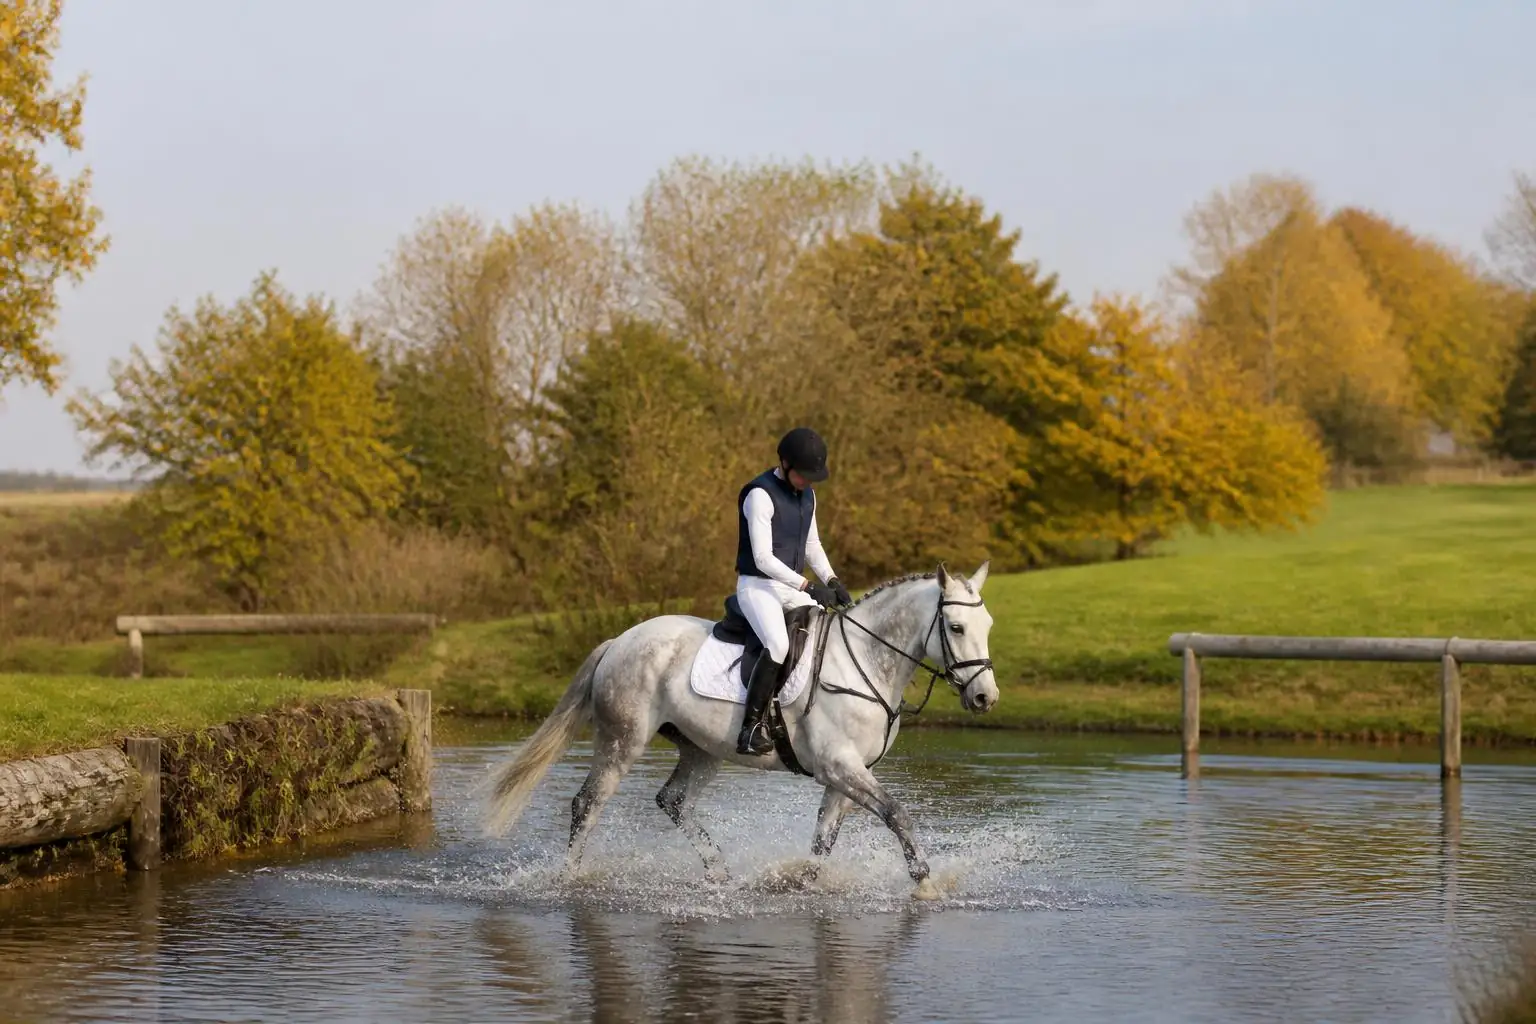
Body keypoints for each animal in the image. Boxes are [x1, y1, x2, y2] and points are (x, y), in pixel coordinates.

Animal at [482, 562, 1000, 899]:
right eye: (955, 627)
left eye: (989, 624)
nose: (984, 698)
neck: (866, 661)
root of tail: (620, 640)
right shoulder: (840, 767)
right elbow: (897, 814)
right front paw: (926, 884)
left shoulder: (845, 777)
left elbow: (823, 842)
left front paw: (796, 882)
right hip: (622, 741)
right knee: (587, 804)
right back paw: (570, 880)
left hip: (702, 750)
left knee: (673, 801)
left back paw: (720, 874)